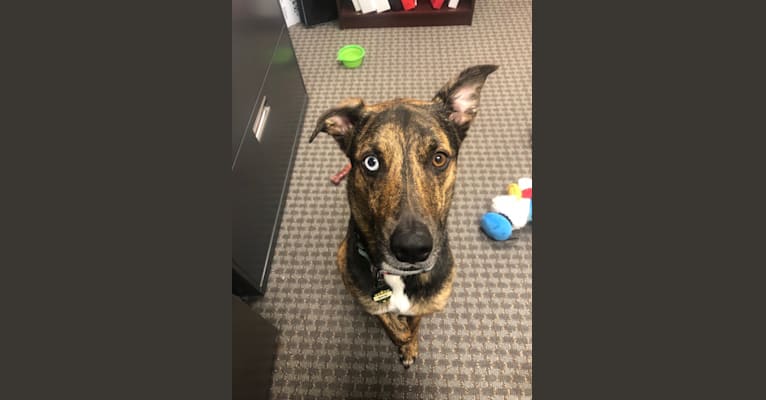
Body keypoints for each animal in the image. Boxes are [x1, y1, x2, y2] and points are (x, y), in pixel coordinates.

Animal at [310, 65, 498, 368]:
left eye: (439, 158)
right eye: (371, 162)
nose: (412, 249)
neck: (397, 279)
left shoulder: (427, 302)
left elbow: (414, 323)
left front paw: (410, 344)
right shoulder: (369, 298)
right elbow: (391, 324)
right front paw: (401, 338)